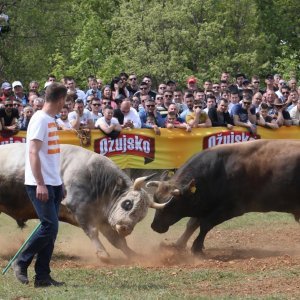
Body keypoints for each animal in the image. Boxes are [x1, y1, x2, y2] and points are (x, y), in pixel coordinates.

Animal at [0, 144, 165, 260]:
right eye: (128, 203)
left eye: (142, 216)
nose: (125, 229)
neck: (94, 176)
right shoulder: (79, 208)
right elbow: (92, 231)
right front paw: (103, 254)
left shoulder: (103, 217)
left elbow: (117, 240)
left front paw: (132, 254)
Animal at [148, 139, 300, 254]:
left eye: (171, 206)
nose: (155, 226)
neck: (220, 171)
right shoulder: (205, 205)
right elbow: (192, 224)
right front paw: (178, 244)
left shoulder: (229, 209)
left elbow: (205, 224)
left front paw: (196, 248)